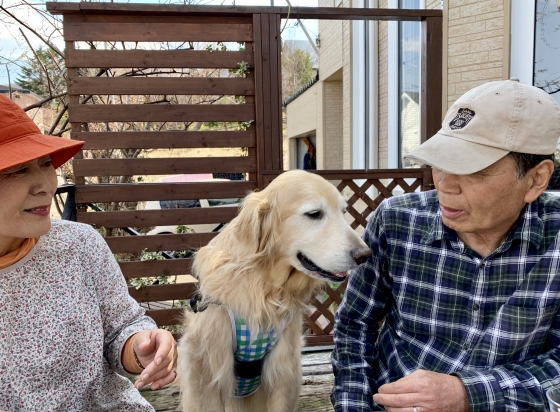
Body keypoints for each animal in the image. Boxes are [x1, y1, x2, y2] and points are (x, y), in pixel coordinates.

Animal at [177, 170, 371, 412]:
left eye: (344, 212)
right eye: (314, 214)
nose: (365, 255)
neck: (266, 289)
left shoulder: (283, 370)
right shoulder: (207, 371)